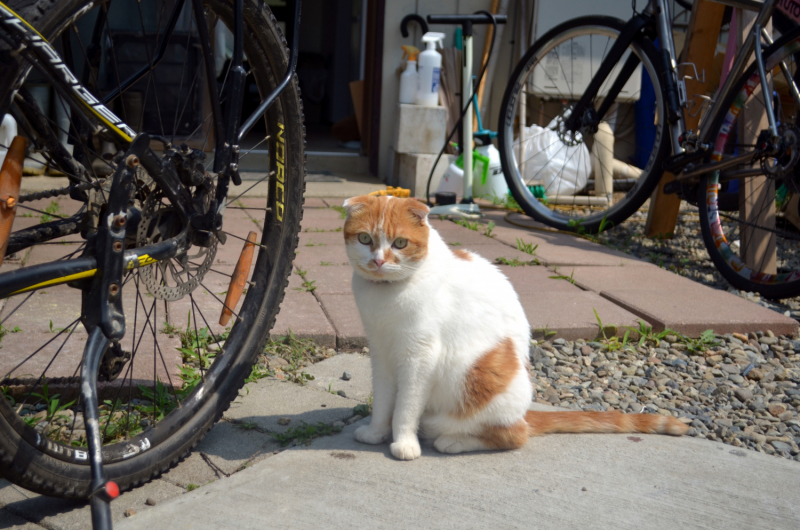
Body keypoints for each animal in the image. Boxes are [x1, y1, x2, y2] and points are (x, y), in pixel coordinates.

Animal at [340, 194, 684, 458]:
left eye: (400, 243)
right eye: (365, 239)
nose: (378, 261)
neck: (385, 296)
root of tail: (525, 412)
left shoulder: (419, 357)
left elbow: (405, 408)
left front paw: (404, 443)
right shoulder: (381, 353)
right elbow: (384, 402)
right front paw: (376, 432)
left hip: (480, 377)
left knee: (514, 435)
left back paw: (453, 441)